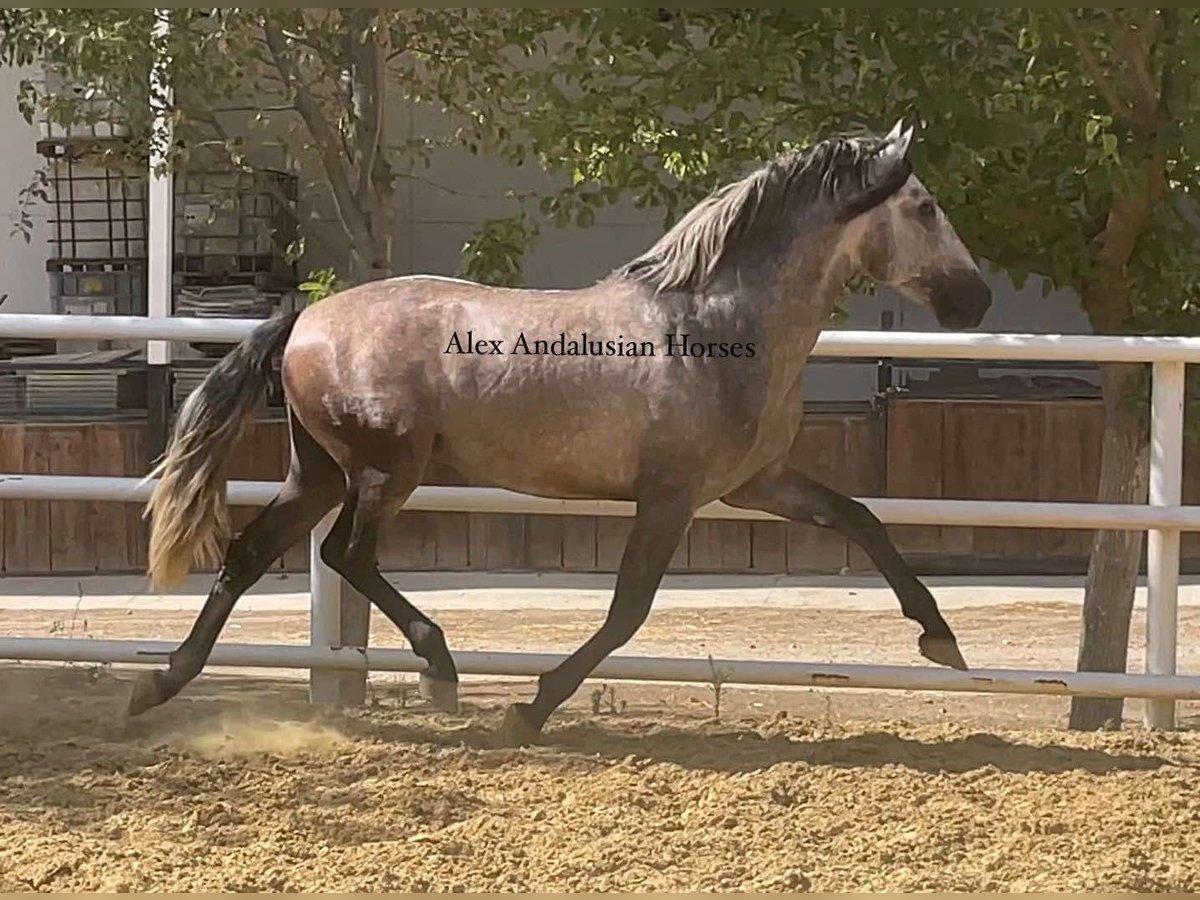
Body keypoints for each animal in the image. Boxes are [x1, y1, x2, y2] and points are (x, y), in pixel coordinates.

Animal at [131, 120, 993, 748]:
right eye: (924, 207)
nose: (976, 299)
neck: (716, 325)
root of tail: (306, 320)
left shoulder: (757, 483)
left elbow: (863, 519)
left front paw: (941, 641)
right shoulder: (671, 497)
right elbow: (627, 612)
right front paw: (530, 709)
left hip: (318, 473)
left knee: (248, 555)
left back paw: (158, 684)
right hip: (382, 473)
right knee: (347, 555)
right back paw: (440, 671)